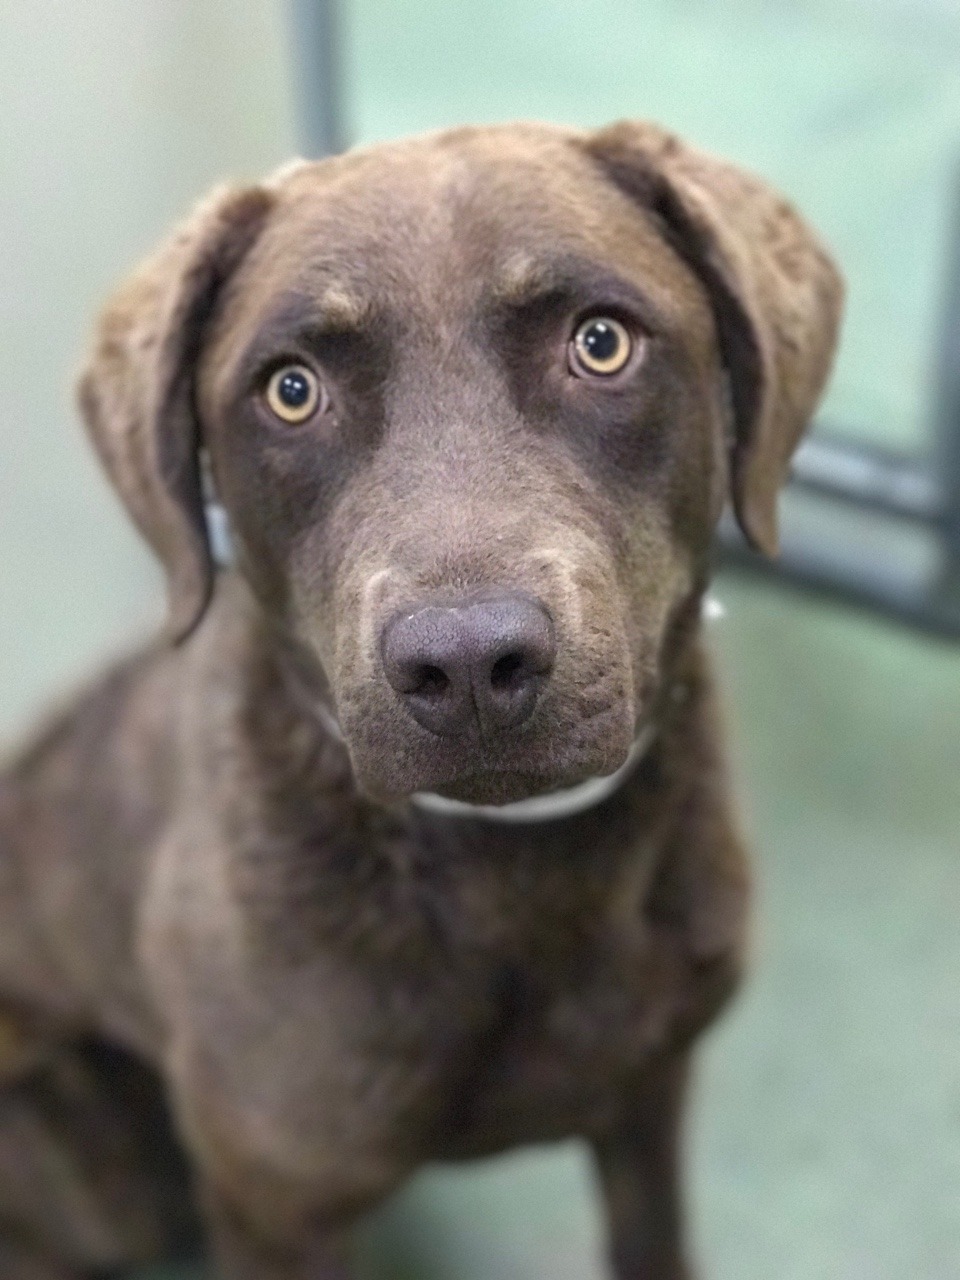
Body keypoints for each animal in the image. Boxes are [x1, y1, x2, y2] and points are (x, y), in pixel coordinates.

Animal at [0, 122, 839, 1280]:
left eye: (601, 342)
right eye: (292, 389)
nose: (470, 662)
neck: (516, 880)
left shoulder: (648, 1094)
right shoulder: (276, 1201)